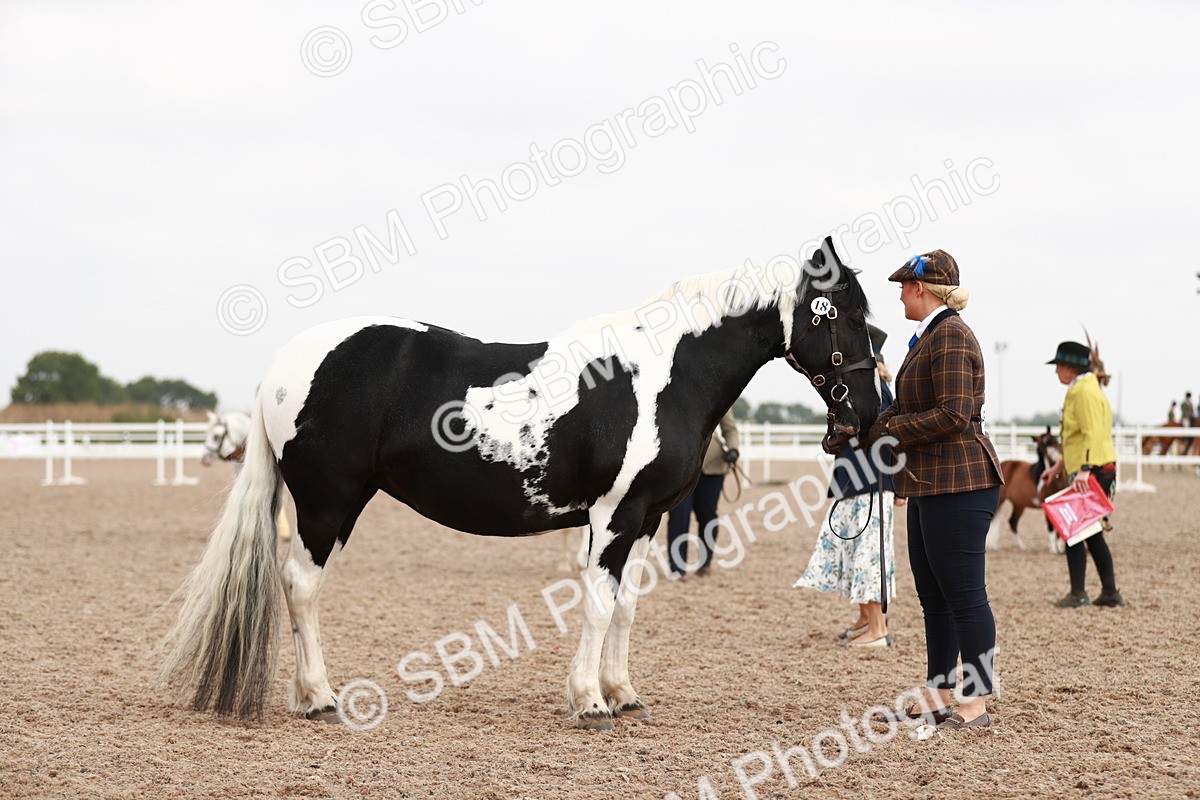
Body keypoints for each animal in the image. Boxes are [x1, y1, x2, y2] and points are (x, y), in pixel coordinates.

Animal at [160, 237, 880, 730]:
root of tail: (286, 362)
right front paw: (589, 702)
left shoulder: (646, 518)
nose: (866, 414)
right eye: (843, 316)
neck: (662, 374)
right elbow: (597, 603)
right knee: (301, 587)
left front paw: (623, 692)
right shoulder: (613, 516)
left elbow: (627, 606)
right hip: (327, 502)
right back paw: (319, 698)